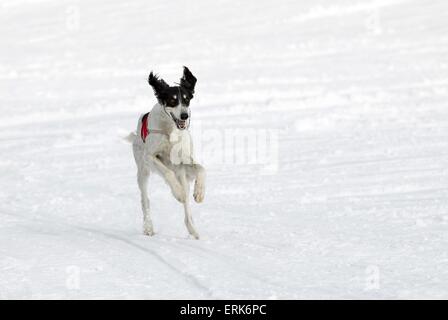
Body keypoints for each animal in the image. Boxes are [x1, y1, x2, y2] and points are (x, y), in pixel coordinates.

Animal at [127, 66, 206, 239]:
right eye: (172, 100)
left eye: (187, 99)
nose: (184, 115)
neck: (170, 130)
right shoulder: (150, 157)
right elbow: (168, 174)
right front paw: (178, 193)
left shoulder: (183, 160)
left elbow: (201, 169)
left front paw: (199, 194)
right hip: (143, 171)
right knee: (145, 200)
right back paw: (148, 228)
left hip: (181, 173)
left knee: (187, 209)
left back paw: (193, 229)